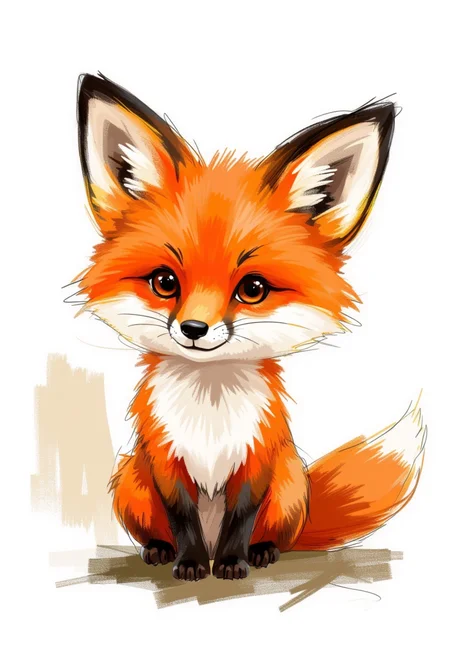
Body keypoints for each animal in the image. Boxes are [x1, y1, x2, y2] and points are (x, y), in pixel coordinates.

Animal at [72, 73, 426, 582]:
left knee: (276, 534)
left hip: (291, 484)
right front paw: (191, 563)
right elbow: (182, 518)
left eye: (253, 288)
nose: (193, 328)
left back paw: (263, 552)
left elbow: (242, 516)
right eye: (165, 282)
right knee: (156, 529)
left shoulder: (258, 460)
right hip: (129, 481)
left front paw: (233, 563)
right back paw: (158, 550)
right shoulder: (164, 460)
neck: (209, 410)